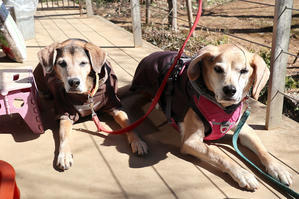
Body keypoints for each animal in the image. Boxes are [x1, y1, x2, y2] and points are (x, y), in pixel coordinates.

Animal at [34, 39, 149, 171]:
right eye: (62, 63)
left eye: (83, 63)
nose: (74, 82)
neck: (86, 93)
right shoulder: (66, 114)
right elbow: (64, 136)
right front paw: (64, 155)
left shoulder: (114, 106)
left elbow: (128, 124)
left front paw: (137, 142)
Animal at [132, 44, 296, 190]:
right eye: (218, 69)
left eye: (244, 71)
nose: (230, 90)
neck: (222, 108)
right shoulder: (190, 141)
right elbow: (218, 154)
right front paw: (242, 173)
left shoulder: (244, 129)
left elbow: (262, 150)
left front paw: (278, 168)